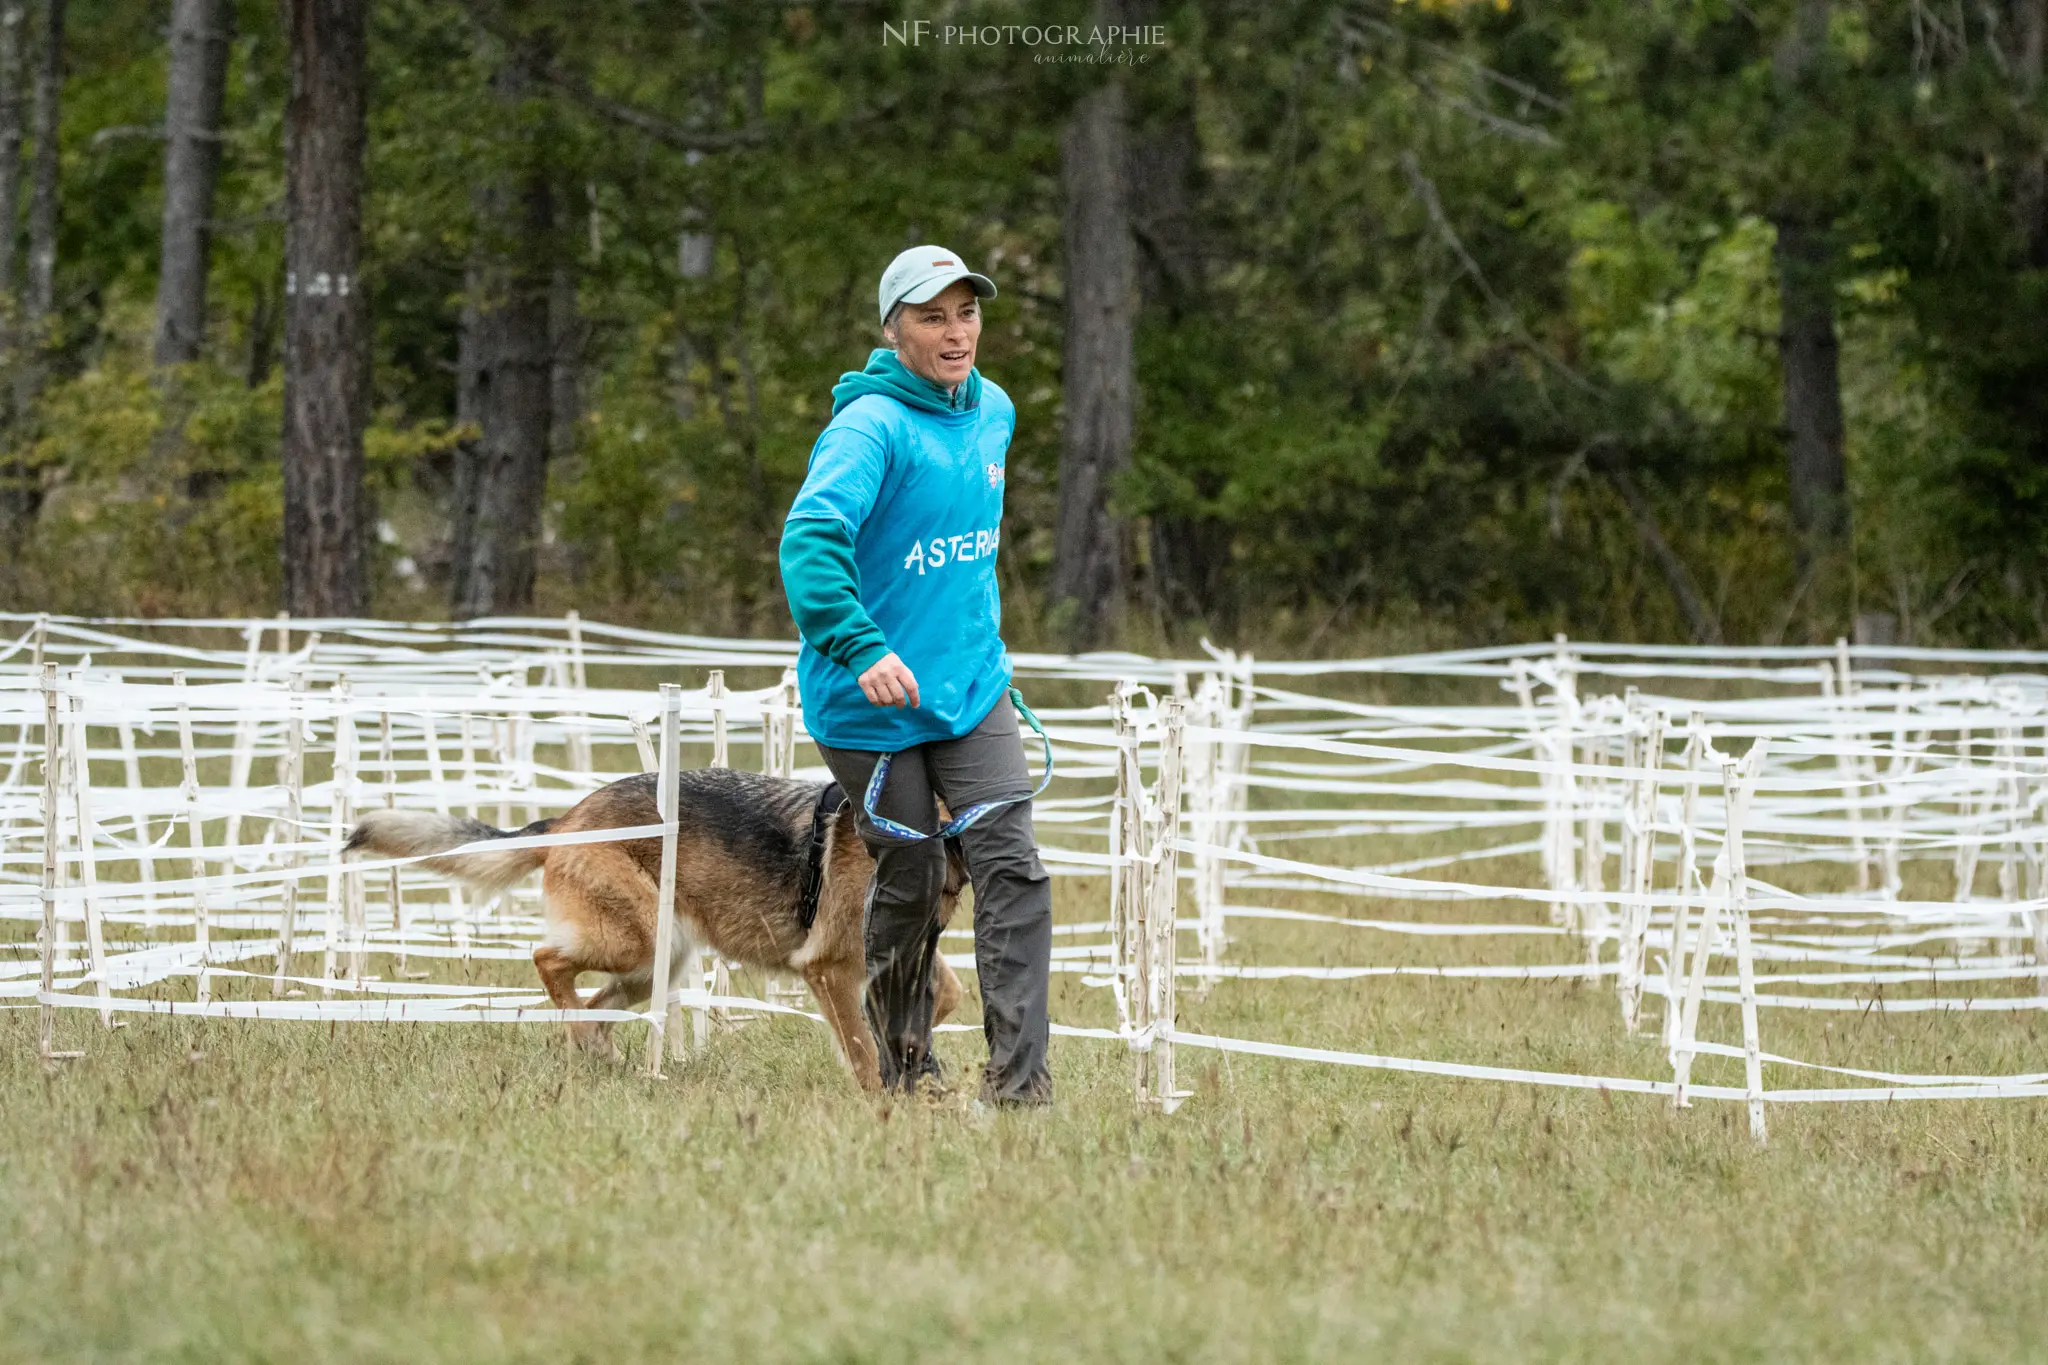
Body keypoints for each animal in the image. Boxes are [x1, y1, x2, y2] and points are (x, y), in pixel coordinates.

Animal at [346, 769, 966, 1096]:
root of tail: (566, 821)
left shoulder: (904, 958)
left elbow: (945, 997)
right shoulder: (831, 970)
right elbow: (861, 1049)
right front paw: (884, 1106)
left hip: (657, 962)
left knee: (595, 1005)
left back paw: (598, 1052)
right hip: (637, 943)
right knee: (547, 958)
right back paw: (583, 1037)